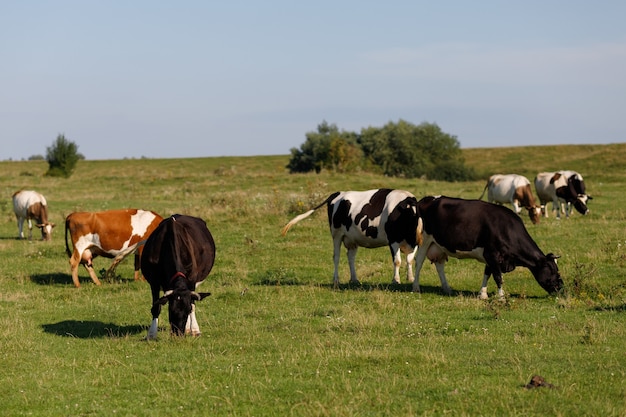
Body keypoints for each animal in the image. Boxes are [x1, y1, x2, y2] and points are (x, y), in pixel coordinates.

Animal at [282, 188, 420, 286]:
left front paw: (411, 278)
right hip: (336, 234)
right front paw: (396, 280)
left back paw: (354, 279)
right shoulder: (393, 240)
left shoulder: (414, 244)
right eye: (414, 215)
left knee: (351, 257)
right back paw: (336, 280)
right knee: (336, 257)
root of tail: (338, 193)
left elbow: (409, 260)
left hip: (352, 239)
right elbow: (397, 261)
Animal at [412, 196, 564, 298]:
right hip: (425, 240)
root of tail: (428, 199)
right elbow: (498, 277)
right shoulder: (492, 255)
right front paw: (501, 297)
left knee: (439, 266)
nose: (561, 287)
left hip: (439, 245)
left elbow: (487, 273)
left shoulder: (490, 256)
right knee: (419, 262)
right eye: (552, 269)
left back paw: (447, 288)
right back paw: (416, 287)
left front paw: (483, 294)